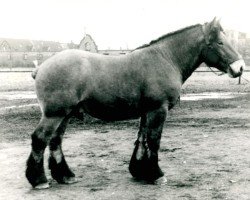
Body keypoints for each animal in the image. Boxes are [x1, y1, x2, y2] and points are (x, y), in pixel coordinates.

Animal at [25, 17, 244, 189]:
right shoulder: (158, 109)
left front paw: (139, 171)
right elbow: (154, 141)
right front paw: (156, 174)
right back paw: (39, 180)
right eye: (220, 42)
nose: (240, 67)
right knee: (40, 139)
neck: (166, 59)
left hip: (66, 114)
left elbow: (142, 139)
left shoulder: (147, 111)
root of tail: (41, 67)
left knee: (55, 141)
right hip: (55, 114)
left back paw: (65, 176)